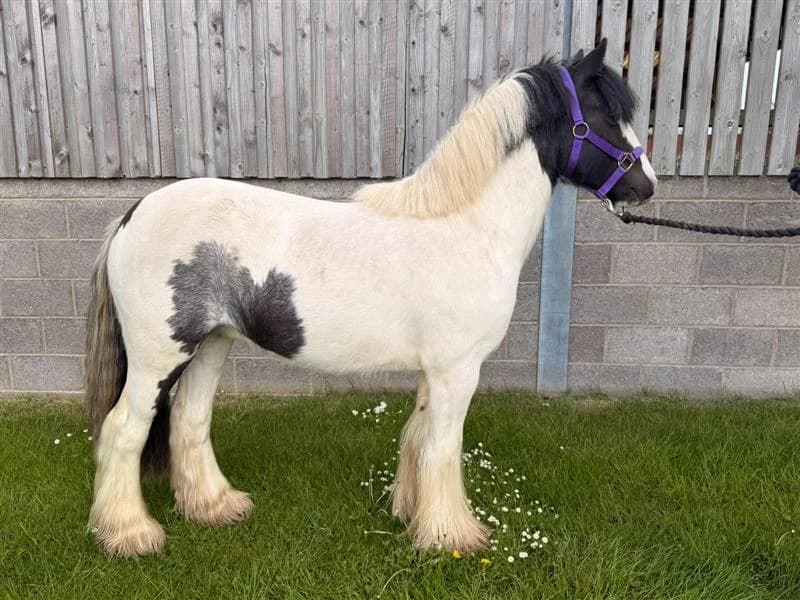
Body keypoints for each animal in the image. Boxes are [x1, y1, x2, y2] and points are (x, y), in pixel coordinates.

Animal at [84, 39, 657, 557]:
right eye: (606, 116)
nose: (645, 185)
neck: (467, 226)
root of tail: (133, 215)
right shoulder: (457, 370)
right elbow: (443, 448)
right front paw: (451, 538)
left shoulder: (435, 371)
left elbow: (418, 437)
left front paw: (411, 514)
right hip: (159, 356)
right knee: (124, 430)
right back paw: (129, 535)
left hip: (212, 344)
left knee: (189, 421)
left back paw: (215, 507)